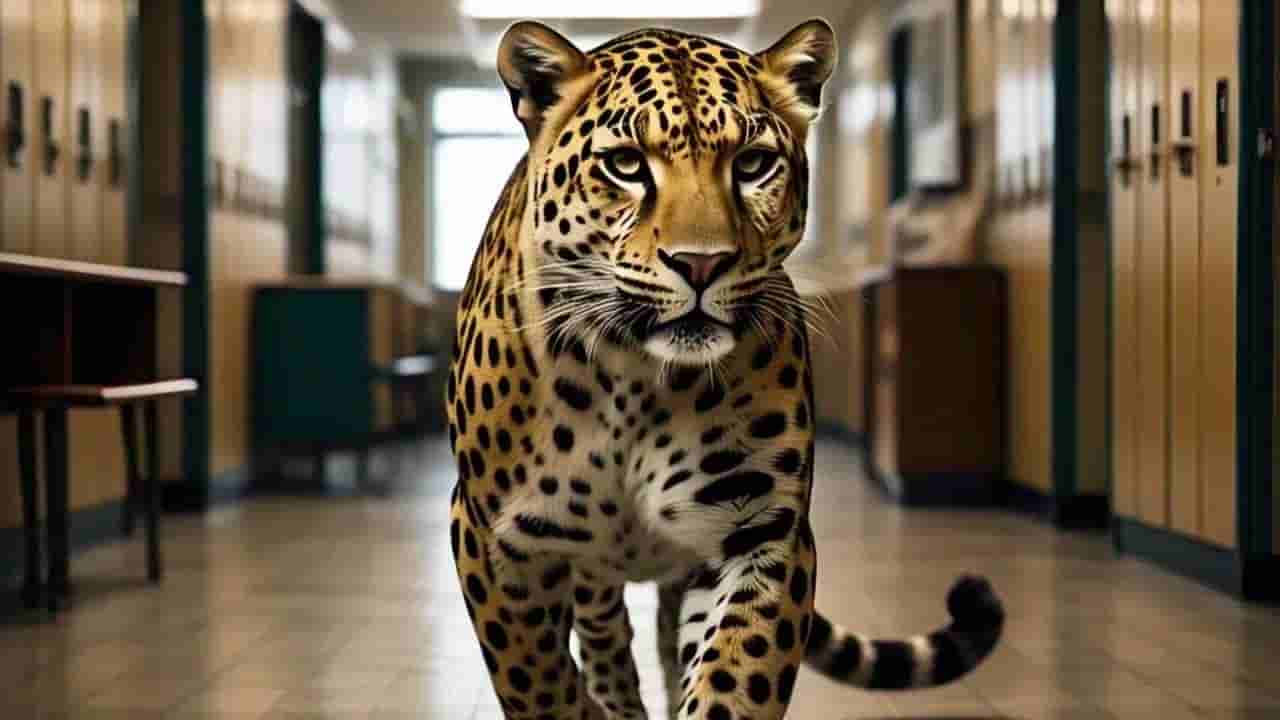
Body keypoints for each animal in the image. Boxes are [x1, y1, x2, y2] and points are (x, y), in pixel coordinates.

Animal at [446, 19, 1005, 719]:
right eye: (626, 165)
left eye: (752, 163)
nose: (701, 263)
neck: (631, 378)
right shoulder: (493, 540)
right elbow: (538, 679)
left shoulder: (760, 531)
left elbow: (734, 677)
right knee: (605, 631)